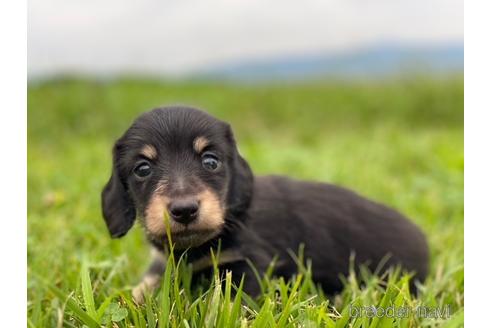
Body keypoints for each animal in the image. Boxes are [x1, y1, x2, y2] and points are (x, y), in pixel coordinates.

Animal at [102, 107, 428, 302]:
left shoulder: (248, 264)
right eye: (142, 169)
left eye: (211, 161)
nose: (184, 210)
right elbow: (144, 285)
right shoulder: (164, 264)